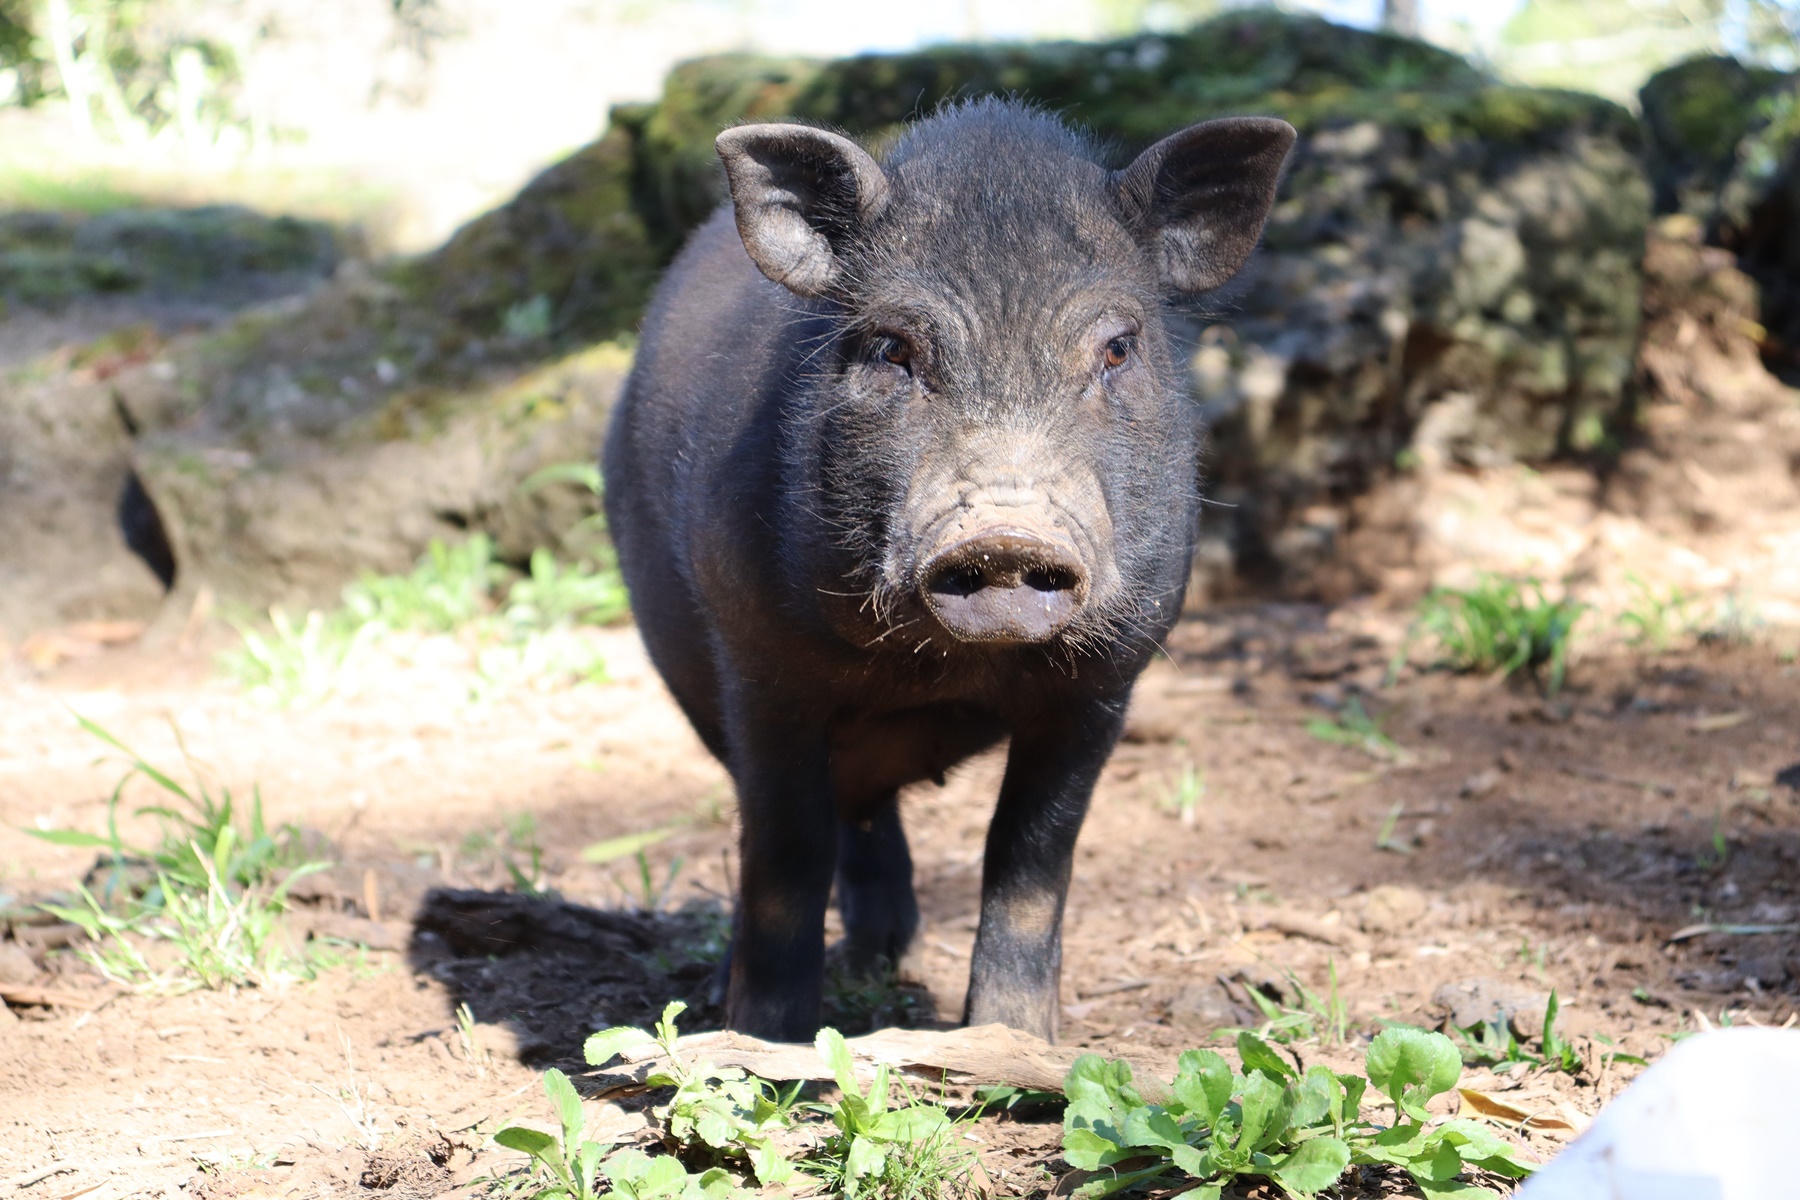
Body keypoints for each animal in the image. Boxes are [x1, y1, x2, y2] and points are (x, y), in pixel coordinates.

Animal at [608, 100, 1296, 1043]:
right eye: (893, 349)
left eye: (1118, 349)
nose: (1003, 537)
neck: (942, 672)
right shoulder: (758, 663)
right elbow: (785, 849)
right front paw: (763, 1039)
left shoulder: (1108, 679)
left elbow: (1030, 858)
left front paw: (1014, 1043)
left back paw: (884, 960)